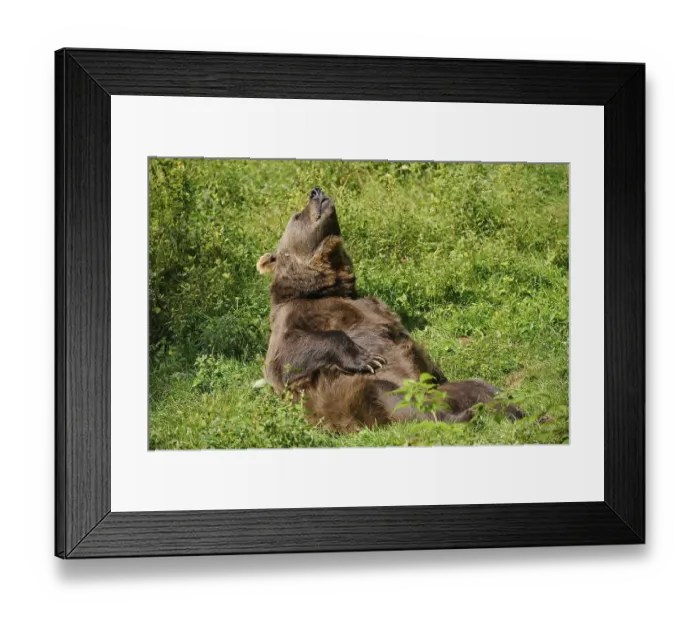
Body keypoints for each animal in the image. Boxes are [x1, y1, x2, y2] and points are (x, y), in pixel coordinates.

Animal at [256, 186, 524, 433]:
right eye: (297, 216)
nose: (316, 191)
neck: (324, 286)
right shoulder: (292, 315)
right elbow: (286, 356)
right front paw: (368, 358)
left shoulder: (373, 305)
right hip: (361, 393)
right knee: (397, 399)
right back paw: (463, 417)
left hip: (446, 390)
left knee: (480, 386)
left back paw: (515, 411)